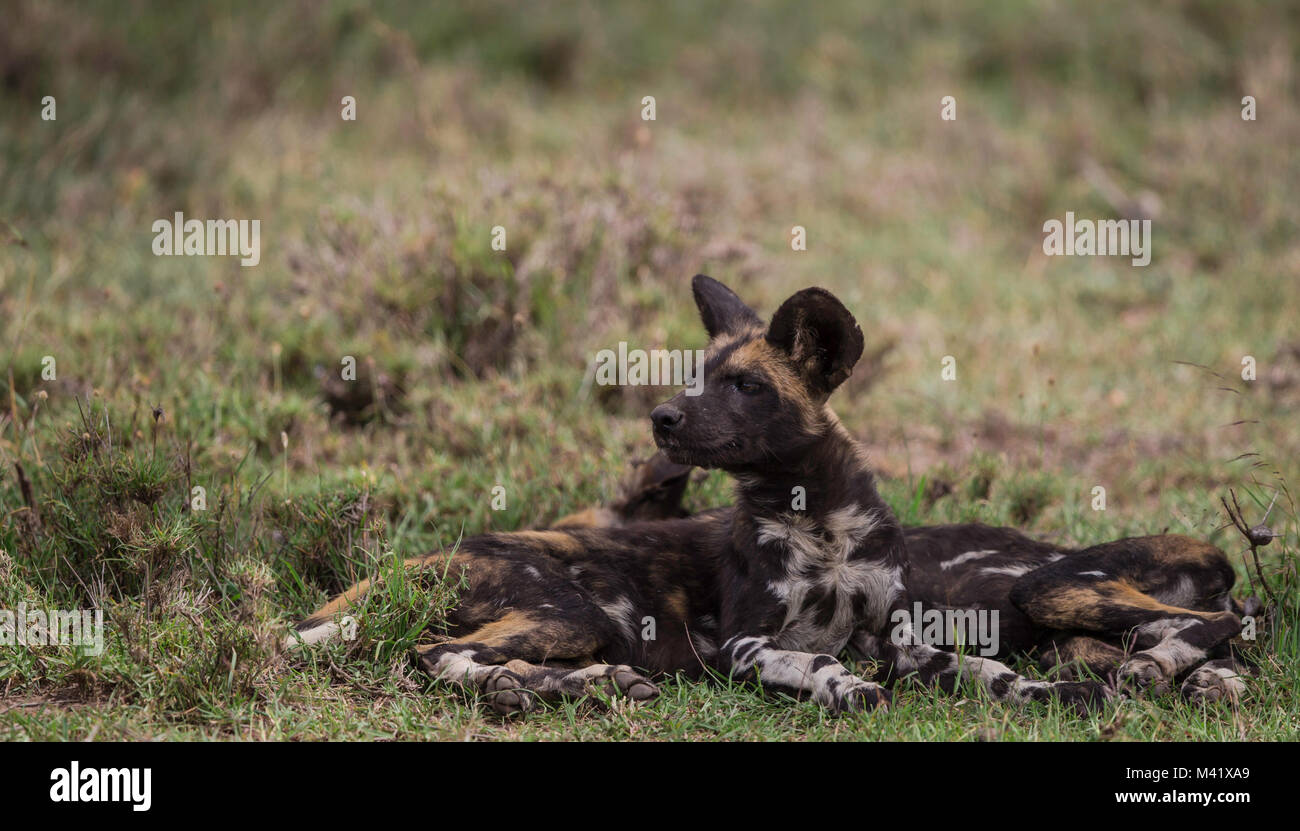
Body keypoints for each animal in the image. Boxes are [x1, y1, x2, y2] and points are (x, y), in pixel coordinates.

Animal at [287, 274, 1248, 717]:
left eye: (745, 385)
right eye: (696, 376)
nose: (662, 417)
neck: (817, 520)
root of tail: (412, 561)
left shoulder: (898, 636)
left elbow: (975, 666)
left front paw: (1043, 691)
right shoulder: (743, 644)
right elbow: (812, 661)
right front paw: (841, 689)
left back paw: (587, 685)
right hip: (567, 608)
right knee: (439, 654)